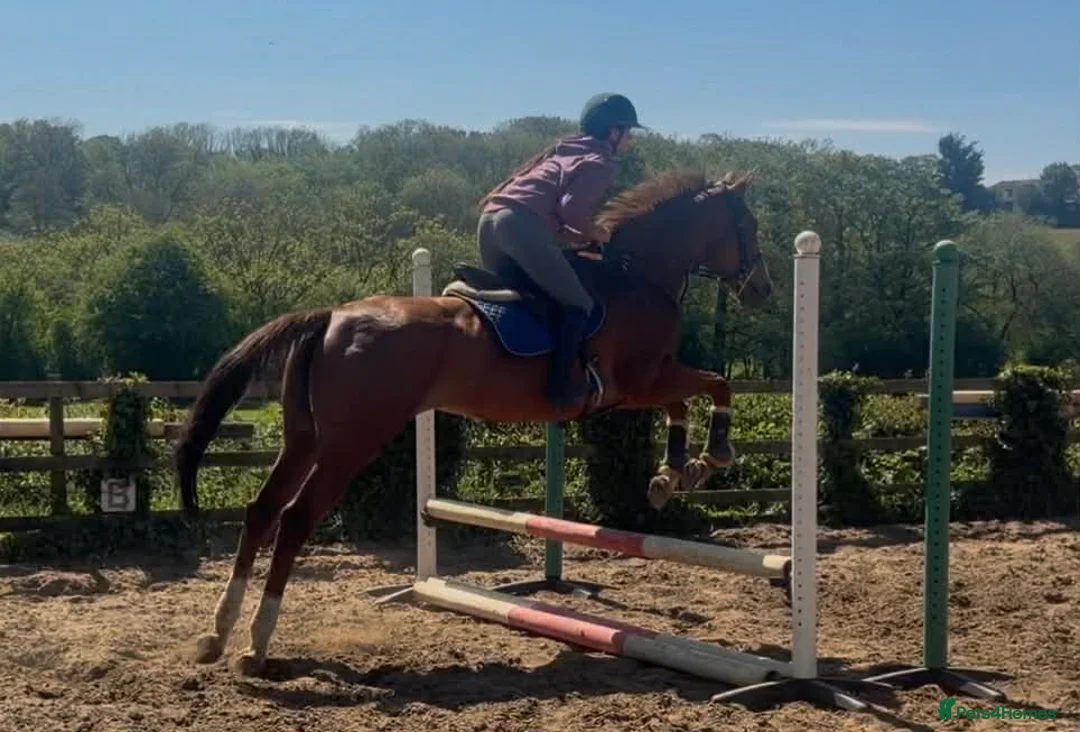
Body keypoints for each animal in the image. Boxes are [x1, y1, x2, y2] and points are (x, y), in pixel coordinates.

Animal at [174, 169, 773, 675]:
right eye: (747, 226)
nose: (763, 290)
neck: (638, 275)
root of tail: (329, 317)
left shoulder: (633, 391)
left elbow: (684, 404)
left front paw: (672, 474)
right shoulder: (642, 380)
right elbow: (716, 385)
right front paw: (713, 457)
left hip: (304, 440)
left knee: (261, 510)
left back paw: (218, 633)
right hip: (350, 444)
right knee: (295, 519)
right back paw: (257, 642)